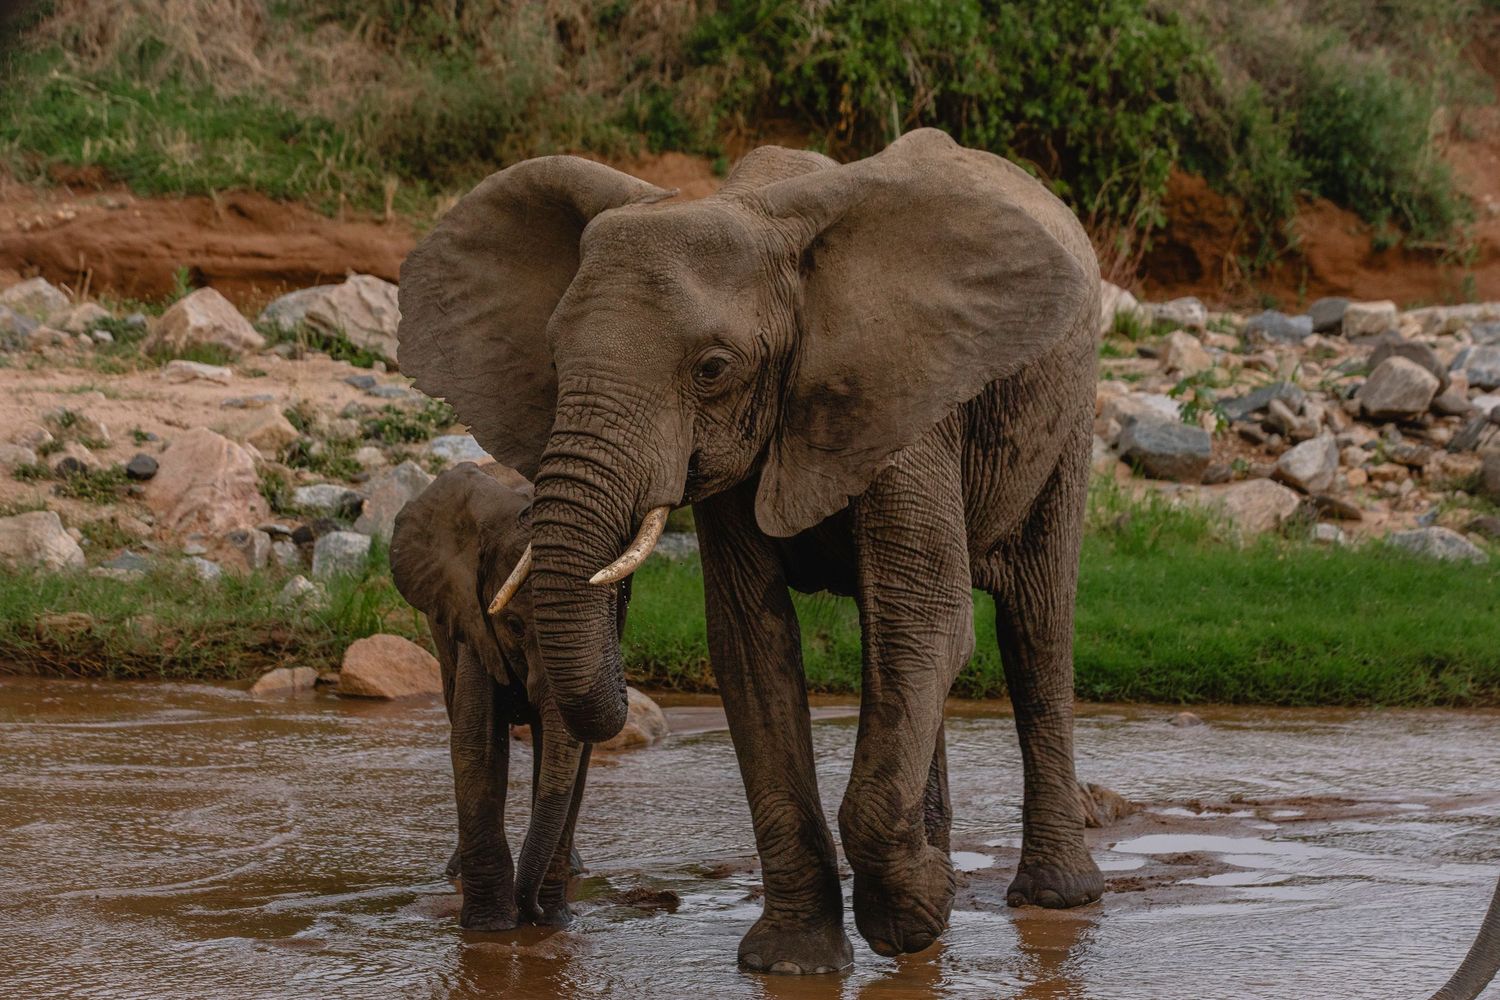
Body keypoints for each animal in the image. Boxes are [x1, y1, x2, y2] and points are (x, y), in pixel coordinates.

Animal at [389, 460, 620, 931]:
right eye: (513, 625)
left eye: (611, 615)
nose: (533, 912)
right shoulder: (470, 617)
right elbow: (477, 743)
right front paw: (490, 927)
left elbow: (573, 756)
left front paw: (554, 921)